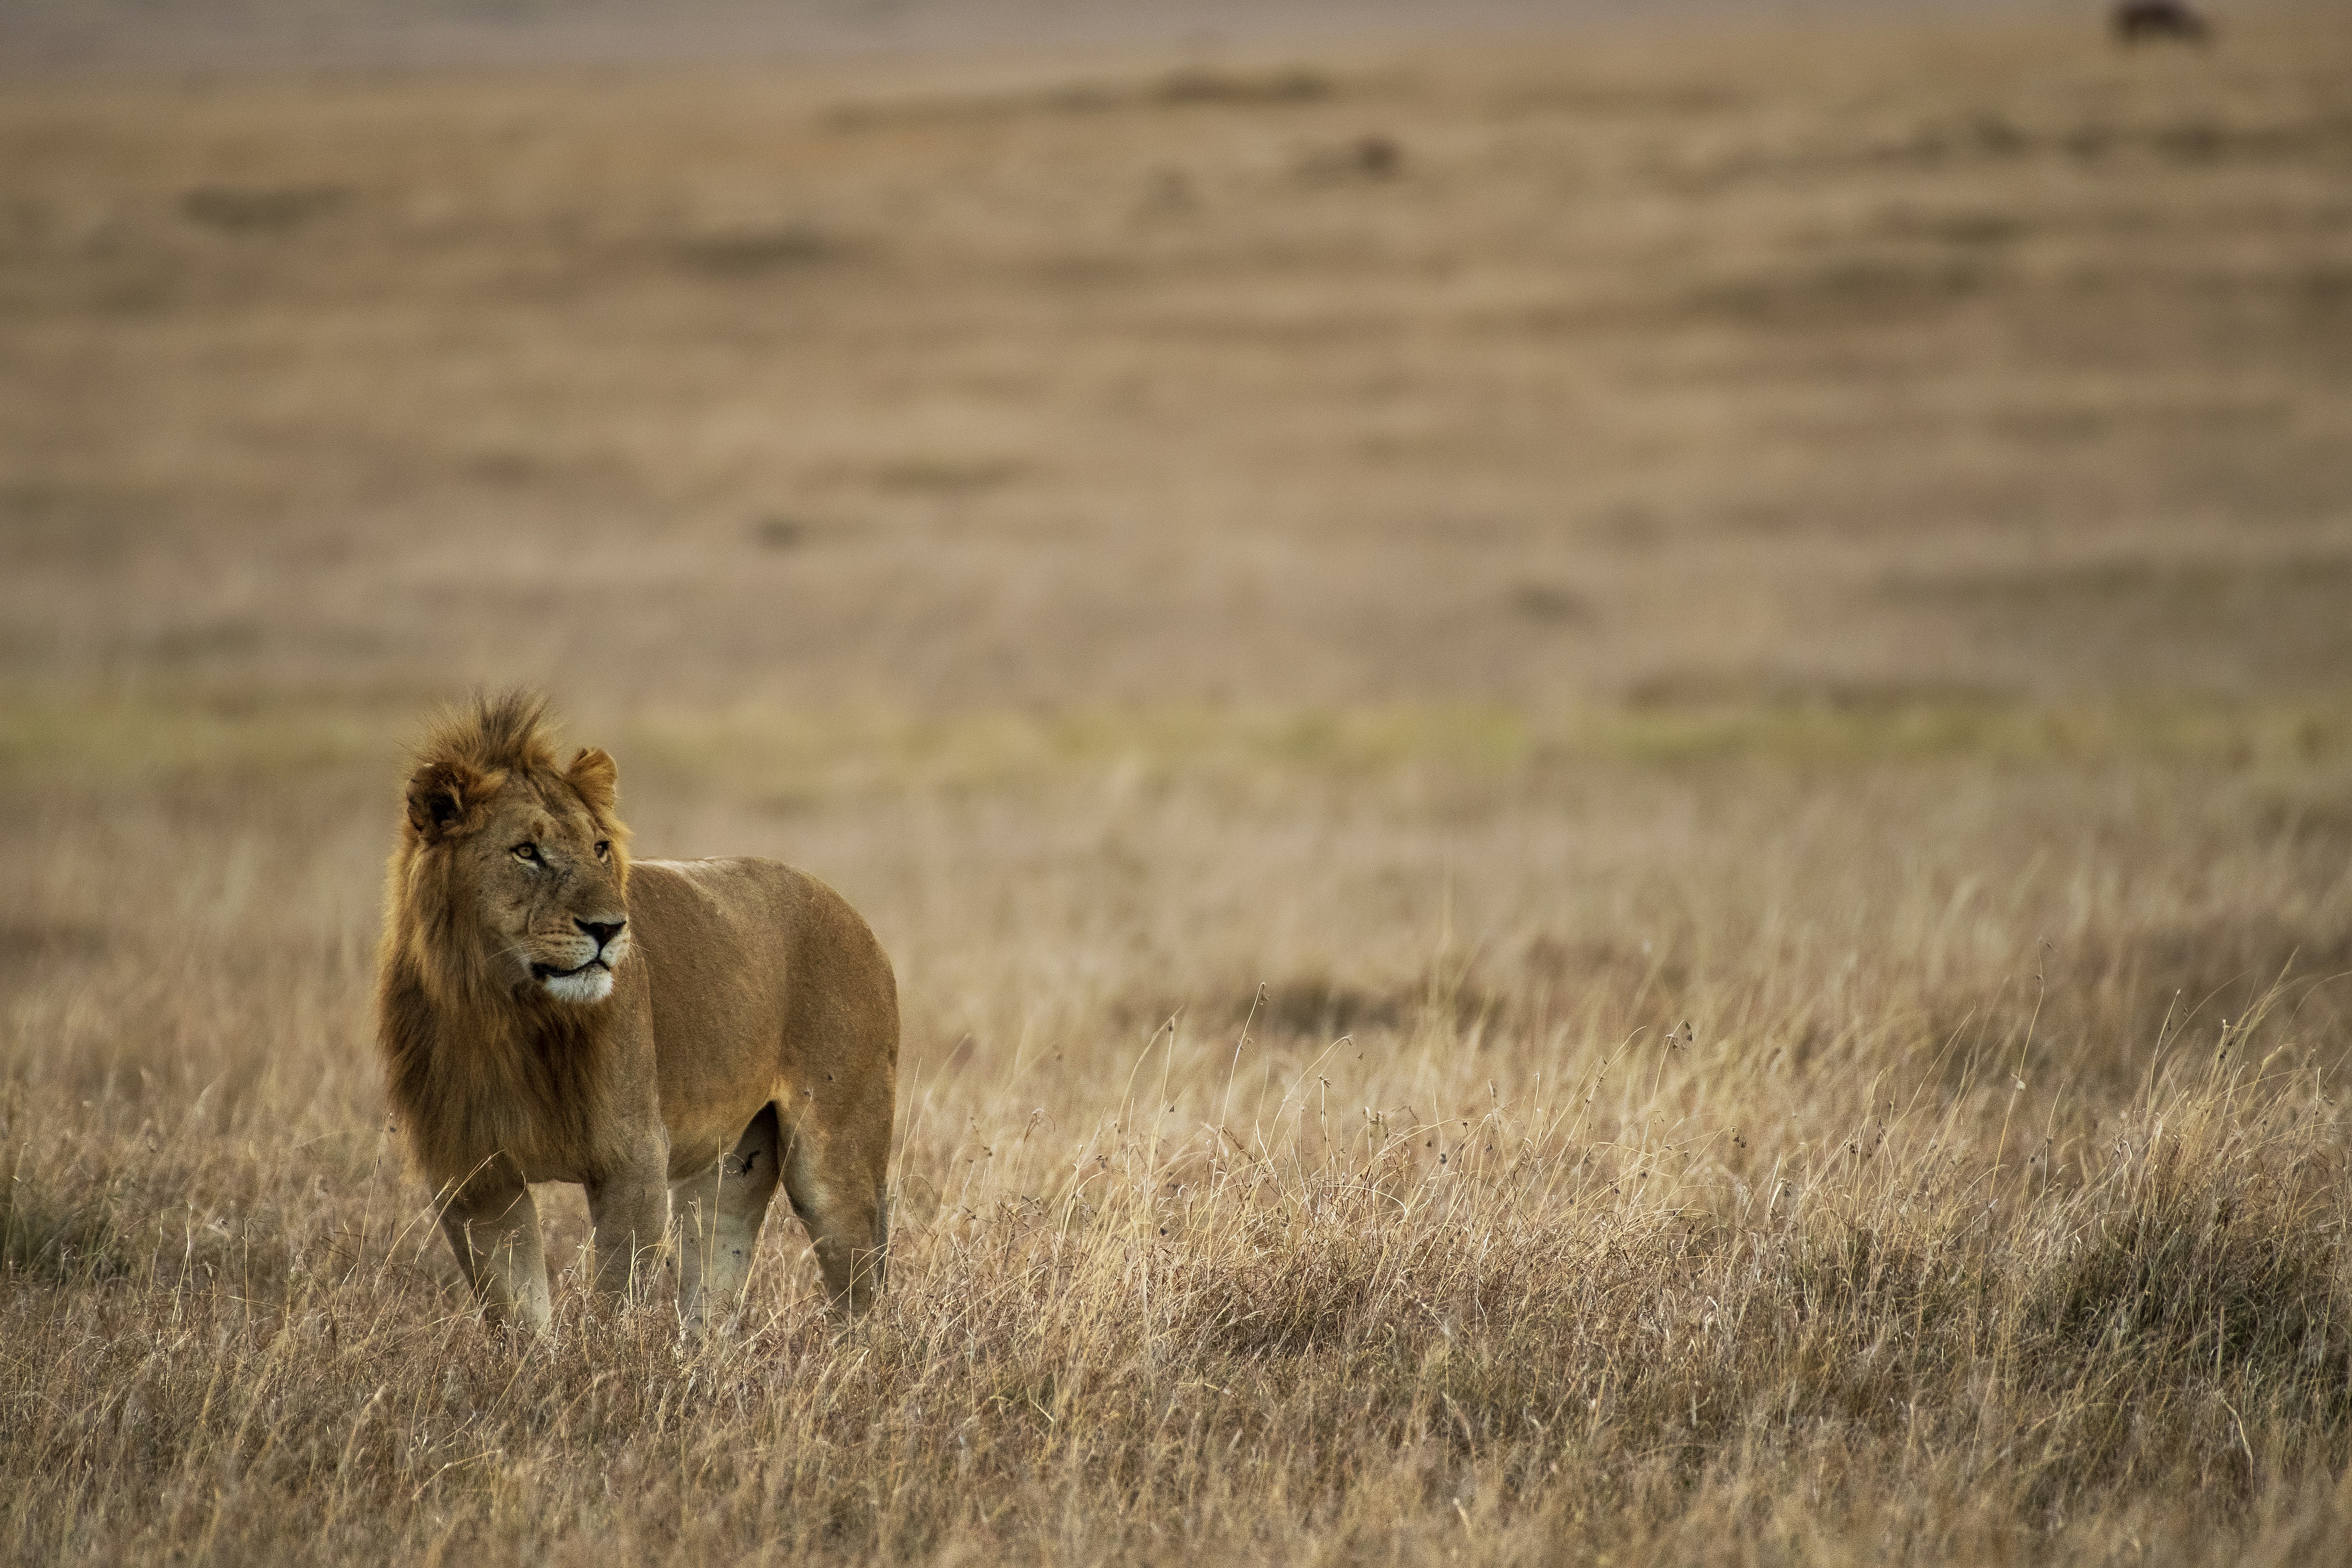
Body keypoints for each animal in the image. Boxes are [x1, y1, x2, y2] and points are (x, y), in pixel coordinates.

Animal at [375, 691, 897, 1328]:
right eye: (526, 852)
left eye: (599, 848)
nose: (608, 928)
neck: (506, 1014)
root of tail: (850, 911)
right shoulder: (473, 1175)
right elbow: (517, 1315)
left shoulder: (632, 1159)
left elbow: (613, 1300)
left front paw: (603, 1357)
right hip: (728, 1170)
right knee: (713, 1293)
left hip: (835, 1158)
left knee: (860, 1291)